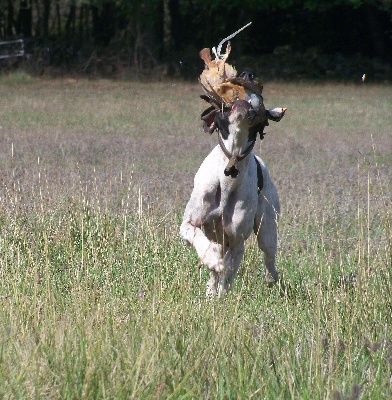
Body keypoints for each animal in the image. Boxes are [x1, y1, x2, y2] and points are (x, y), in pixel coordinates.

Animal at [181, 97, 284, 296]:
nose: (243, 100)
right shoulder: (188, 224)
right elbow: (198, 237)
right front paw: (211, 259)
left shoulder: (237, 242)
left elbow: (227, 276)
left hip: (267, 231)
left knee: (269, 257)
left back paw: (270, 277)